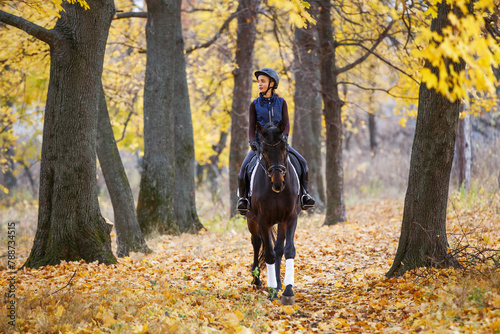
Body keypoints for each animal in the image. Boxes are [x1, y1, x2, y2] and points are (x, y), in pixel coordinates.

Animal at [244, 120, 298, 306]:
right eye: (265, 151)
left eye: (283, 148)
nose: (278, 183)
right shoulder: (263, 221)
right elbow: (268, 254)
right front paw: (272, 290)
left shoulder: (290, 218)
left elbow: (288, 250)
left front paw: (287, 291)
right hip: (251, 221)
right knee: (256, 243)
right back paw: (257, 280)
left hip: (280, 222)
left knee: (279, 249)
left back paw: (280, 283)